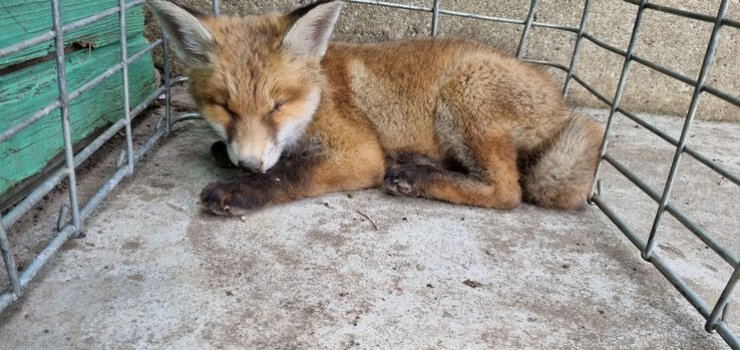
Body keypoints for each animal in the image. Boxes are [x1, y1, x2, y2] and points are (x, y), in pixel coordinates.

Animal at [147, 0, 604, 215]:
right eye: (224, 107)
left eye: (277, 106)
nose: (249, 165)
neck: (319, 95)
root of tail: (561, 105)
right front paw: (228, 157)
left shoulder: (360, 153)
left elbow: (291, 173)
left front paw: (243, 190)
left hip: (466, 92)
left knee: (509, 191)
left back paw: (416, 178)